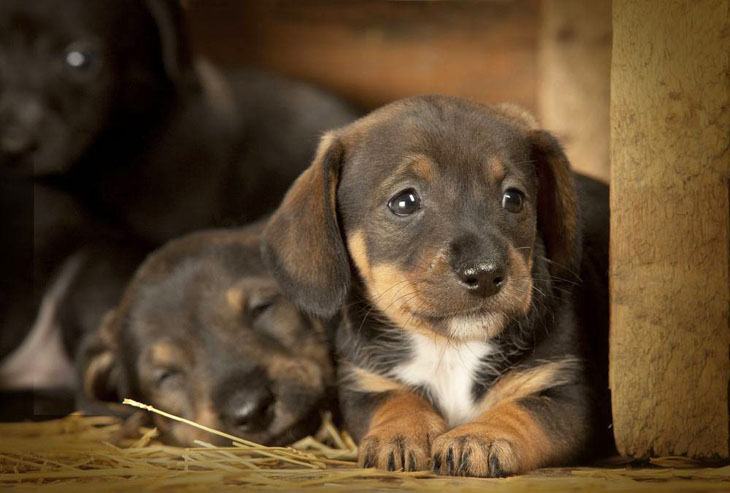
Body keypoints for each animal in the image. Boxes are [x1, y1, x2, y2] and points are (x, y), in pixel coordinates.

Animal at [262, 96, 608, 476]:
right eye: (404, 201)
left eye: (514, 198)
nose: (484, 274)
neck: (449, 347)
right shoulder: (366, 385)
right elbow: (396, 400)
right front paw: (400, 432)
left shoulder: (564, 392)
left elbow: (523, 411)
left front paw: (480, 436)